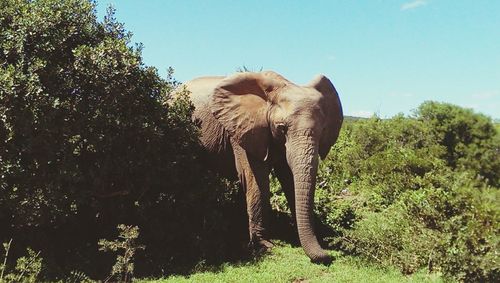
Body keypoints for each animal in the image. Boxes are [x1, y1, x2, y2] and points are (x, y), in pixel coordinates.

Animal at [181, 70, 344, 264]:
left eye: (323, 131)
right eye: (282, 128)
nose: (327, 255)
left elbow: (289, 179)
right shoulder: (243, 130)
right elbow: (256, 179)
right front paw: (264, 245)